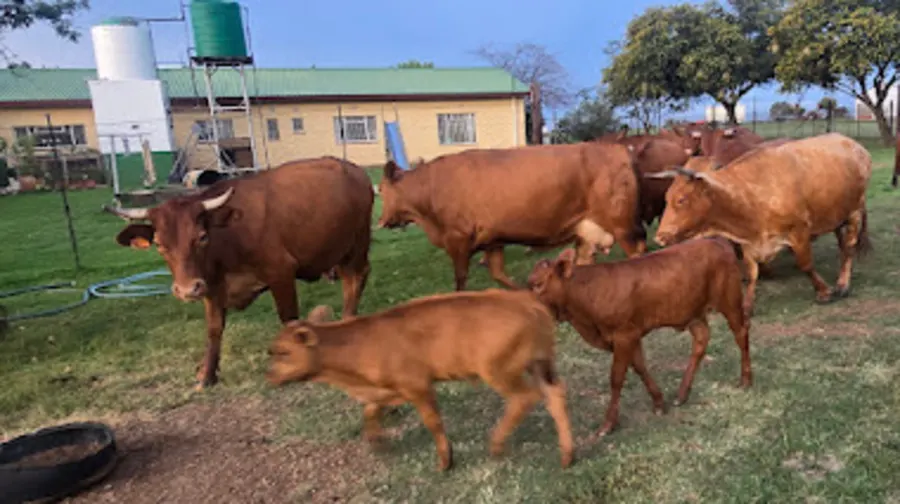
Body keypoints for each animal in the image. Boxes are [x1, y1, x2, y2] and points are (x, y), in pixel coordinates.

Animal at [105, 156, 374, 389]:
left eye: (202, 237)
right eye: (160, 244)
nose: (186, 289)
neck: (228, 239)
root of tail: (354, 170)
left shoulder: (281, 272)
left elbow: (288, 319)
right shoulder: (211, 287)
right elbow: (214, 330)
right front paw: (207, 374)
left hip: (356, 245)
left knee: (355, 279)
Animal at [265, 290, 575, 472]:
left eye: (282, 352)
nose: (269, 375)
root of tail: (526, 301)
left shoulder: (418, 386)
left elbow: (432, 422)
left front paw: (445, 461)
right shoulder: (386, 389)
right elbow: (370, 411)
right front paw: (377, 442)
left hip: (499, 371)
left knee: (525, 398)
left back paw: (497, 445)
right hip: (541, 365)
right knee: (555, 395)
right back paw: (567, 455)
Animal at [377, 142, 647, 291]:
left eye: (380, 189)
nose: (380, 221)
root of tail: (618, 148)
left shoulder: (458, 239)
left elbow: (461, 278)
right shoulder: (492, 240)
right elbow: (499, 274)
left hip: (622, 224)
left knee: (637, 254)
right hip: (587, 230)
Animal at [526, 240, 752, 437]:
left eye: (537, 284)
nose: (525, 306)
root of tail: (718, 240)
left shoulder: (624, 335)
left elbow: (617, 378)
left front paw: (608, 424)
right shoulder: (630, 336)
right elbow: (640, 367)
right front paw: (659, 403)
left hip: (729, 300)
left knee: (741, 332)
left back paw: (745, 380)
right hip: (693, 312)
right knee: (701, 340)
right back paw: (682, 394)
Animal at [647, 133, 872, 315]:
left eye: (681, 200)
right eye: (667, 197)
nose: (660, 237)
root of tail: (854, 145)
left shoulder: (798, 232)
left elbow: (806, 264)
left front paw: (824, 291)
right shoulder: (749, 242)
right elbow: (752, 273)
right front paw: (747, 305)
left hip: (854, 212)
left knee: (849, 247)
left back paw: (843, 284)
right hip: (837, 215)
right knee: (843, 244)